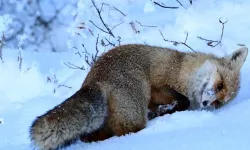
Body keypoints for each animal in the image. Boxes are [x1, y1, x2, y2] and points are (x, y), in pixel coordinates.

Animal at [29, 44, 248, 149]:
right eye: (219, 85)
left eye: (219, 103)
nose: (206, 102)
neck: (182, 72)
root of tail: (96, 78)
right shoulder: (158, 83)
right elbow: (182, 101)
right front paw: (168, 109)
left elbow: (179, 104)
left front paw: (165, 111)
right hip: (135, 111)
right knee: (125, 131)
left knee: (92, 136)